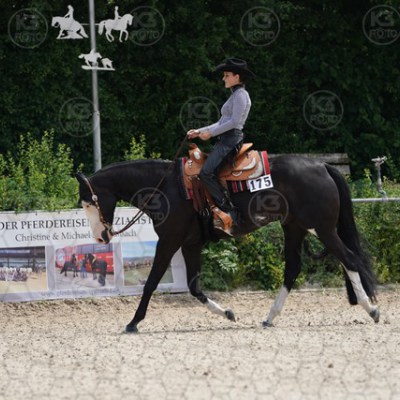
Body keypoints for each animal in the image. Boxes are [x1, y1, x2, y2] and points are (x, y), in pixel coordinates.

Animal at [76, 152, 380, 333]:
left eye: (90, 202)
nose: (100, 237)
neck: (165, 187)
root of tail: (323, 165)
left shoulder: (169, 241)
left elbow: (151, 282)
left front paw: (133, 322)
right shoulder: (190, 243)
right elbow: (194, 287)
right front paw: (229, 313)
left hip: (323, 229)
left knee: (350, 260)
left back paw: (372, 309)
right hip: (294, 228)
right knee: (293, 269)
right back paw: (270, 317)